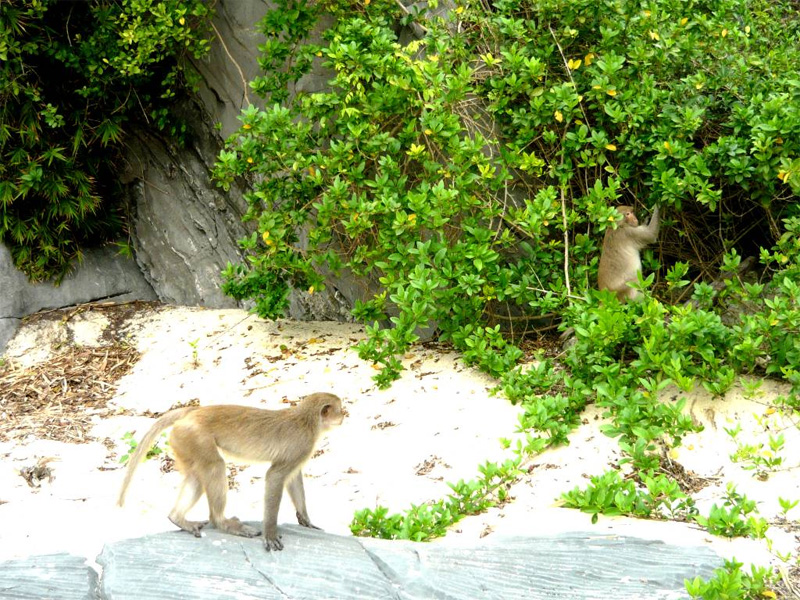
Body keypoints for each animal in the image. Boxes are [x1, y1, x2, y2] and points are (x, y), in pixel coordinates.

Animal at [118, 392, 344, 551]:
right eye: (340, 409)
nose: (344, 415)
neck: (308, 420)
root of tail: (192, 412)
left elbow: (293, 477)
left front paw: (306, 520)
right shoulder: (302, 444)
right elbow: (275, 476)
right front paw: (270, 534)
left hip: (183, 441)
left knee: (197, 475)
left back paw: (177, 518)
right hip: (195, 435)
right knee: (215, 467)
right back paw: (222, 522)